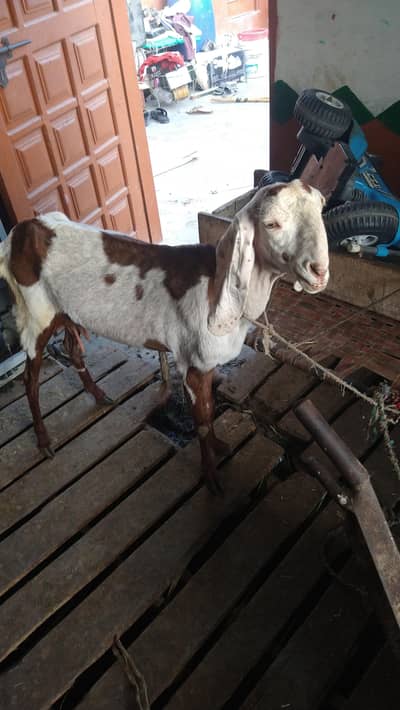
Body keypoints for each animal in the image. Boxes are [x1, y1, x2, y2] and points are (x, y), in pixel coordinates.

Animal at [0, 180, 329, 493]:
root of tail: (22, 231)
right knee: (30, 378)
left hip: (65, 310)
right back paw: (44, 441)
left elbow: (209, 411)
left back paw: (99, 396)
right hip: (36, 314)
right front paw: (211, 478)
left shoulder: (207, 363)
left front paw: (219, 446)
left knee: (73, 348)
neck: (215, 287)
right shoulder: (194, 362)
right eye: (271, 224)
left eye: (321, 210)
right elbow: (202, 420)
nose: (319, 271)